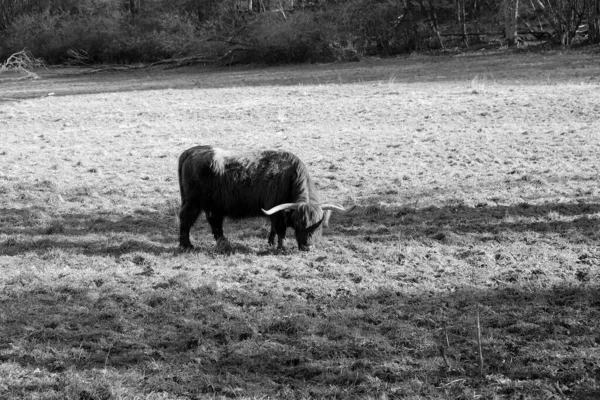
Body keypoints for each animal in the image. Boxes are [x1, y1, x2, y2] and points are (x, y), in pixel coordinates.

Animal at [176, 145, 354, 252]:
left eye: (318, 225)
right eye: (298, 224)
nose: (307, 247)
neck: (290, 177)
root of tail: (191, 151)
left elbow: (274, 228)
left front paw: (271, 242)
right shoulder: (276, 210)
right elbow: (280, 229)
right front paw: (280, 246)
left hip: (213, 205)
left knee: (215, 223)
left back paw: (225, 244)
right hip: (192, 202)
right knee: (186, 220)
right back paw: (187, 245)